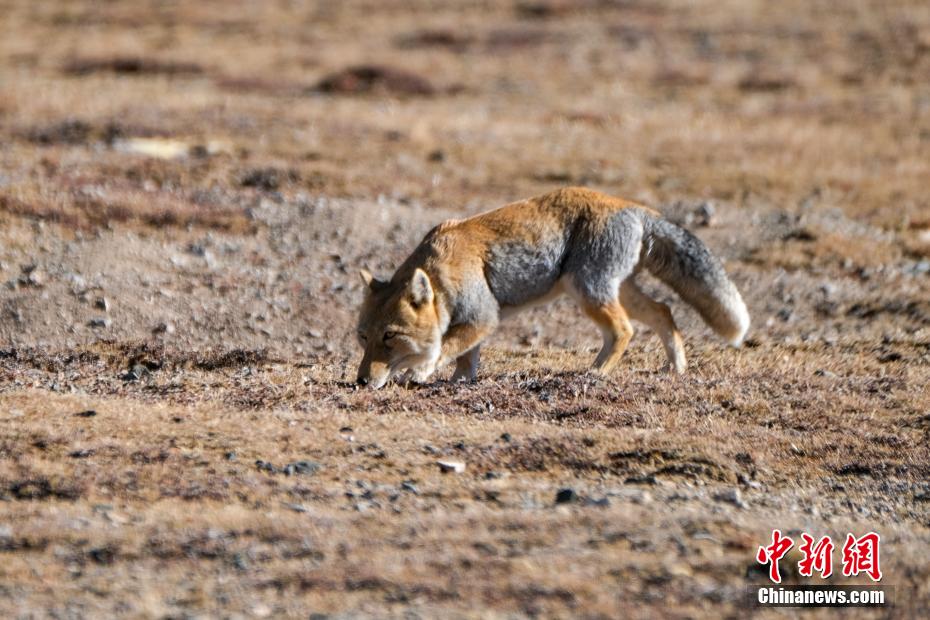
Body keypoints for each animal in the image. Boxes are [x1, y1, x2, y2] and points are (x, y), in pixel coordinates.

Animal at [354, 186, 748, 388]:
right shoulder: (475, 322)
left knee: (625, 330)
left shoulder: (483, 316)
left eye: (389, 336)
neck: (441, 269)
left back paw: (597, 373)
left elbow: (446, 346)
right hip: (615, 290)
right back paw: (675, 367)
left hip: (588, 291)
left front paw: (421, 371)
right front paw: (459, 382)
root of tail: (632, 206)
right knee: (664, 311)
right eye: (363, 337)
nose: (360, 381)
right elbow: (466, 357)